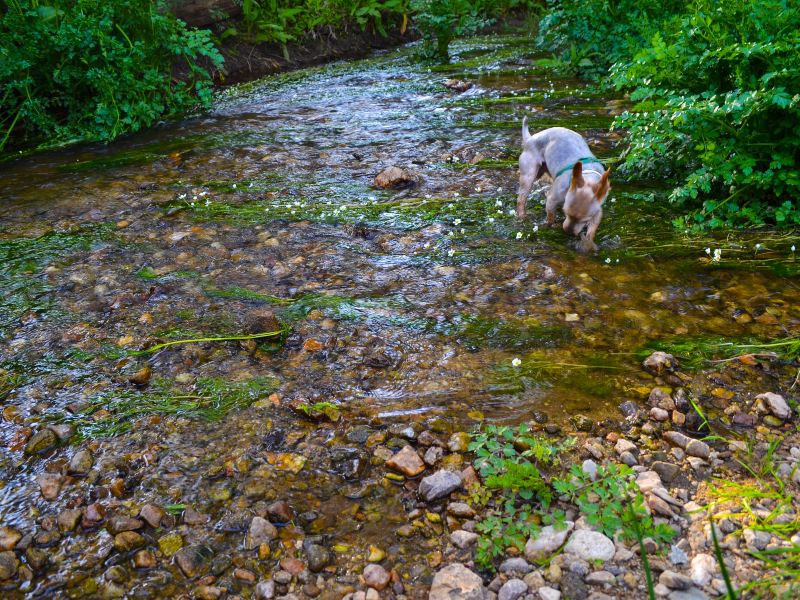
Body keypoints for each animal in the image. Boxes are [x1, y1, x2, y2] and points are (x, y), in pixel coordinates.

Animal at [516, 118, 608, 252]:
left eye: (585, 220)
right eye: (566, 212)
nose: (568, 232)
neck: (587, 176)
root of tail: (530, 138)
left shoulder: (597, 213)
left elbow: (591, 232)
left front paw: (588, 244)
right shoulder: (551, 200)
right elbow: (550, 217)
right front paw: (551, 226)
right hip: (529, 175)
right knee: (521, 199)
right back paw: (522, 215)